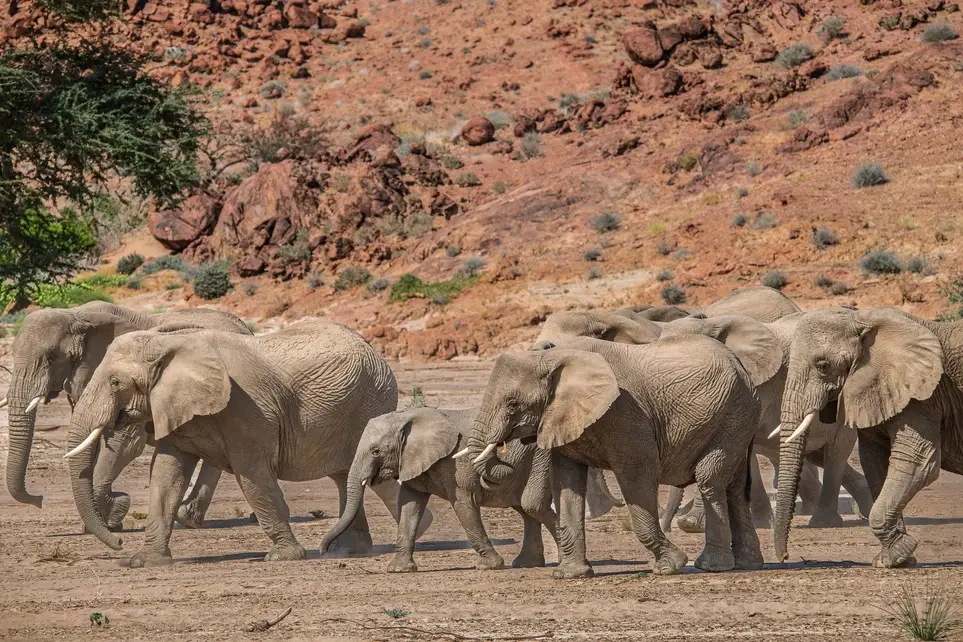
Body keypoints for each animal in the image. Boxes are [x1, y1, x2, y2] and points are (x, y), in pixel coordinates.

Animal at [4, 301, 251, 528]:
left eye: (53, 357)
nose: (39, 499)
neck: (77, 314)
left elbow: (124, 443)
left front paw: (113, 515)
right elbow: (91, 440)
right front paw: (104, 520)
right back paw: (191, 518)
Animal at [63, 320, 426, 567]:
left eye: (115, 382)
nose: (117, 543)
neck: (168, 343)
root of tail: (376, 353)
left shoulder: (246, 406)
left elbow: (252, 474)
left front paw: (283, 557)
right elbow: (166, 475)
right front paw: (144, 562)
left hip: (370, 402)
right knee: (344, 475)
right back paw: (348, 551)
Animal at [320, 407, 557, 573]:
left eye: (376, 451)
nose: (323, 551)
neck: (409, 416)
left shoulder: (457, 466)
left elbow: (463, 505)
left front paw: (490, 565)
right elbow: (409, 506)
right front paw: (398, 569)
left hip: (540, 460)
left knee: (532, 506)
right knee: (527, 511)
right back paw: (527, 564)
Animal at [469, 334, 764, 578]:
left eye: (512, 403)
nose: (504, 450)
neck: (553, 357)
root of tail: (740, 365)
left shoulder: (626, 413)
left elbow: (637, 475)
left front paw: (670, 566)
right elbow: (566, 484)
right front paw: (570, 575)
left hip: (733, 413)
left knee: (710, 479)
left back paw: (711, 566)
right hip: (738, 416)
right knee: (735, 487)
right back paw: (747, 564)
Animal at [773, 307, 963, 568]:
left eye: (823, 366)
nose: (784, 557)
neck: (862, 320)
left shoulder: (924, 397)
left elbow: (919, 464)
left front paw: (896, 555)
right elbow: (874, 463)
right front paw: (896, 558)